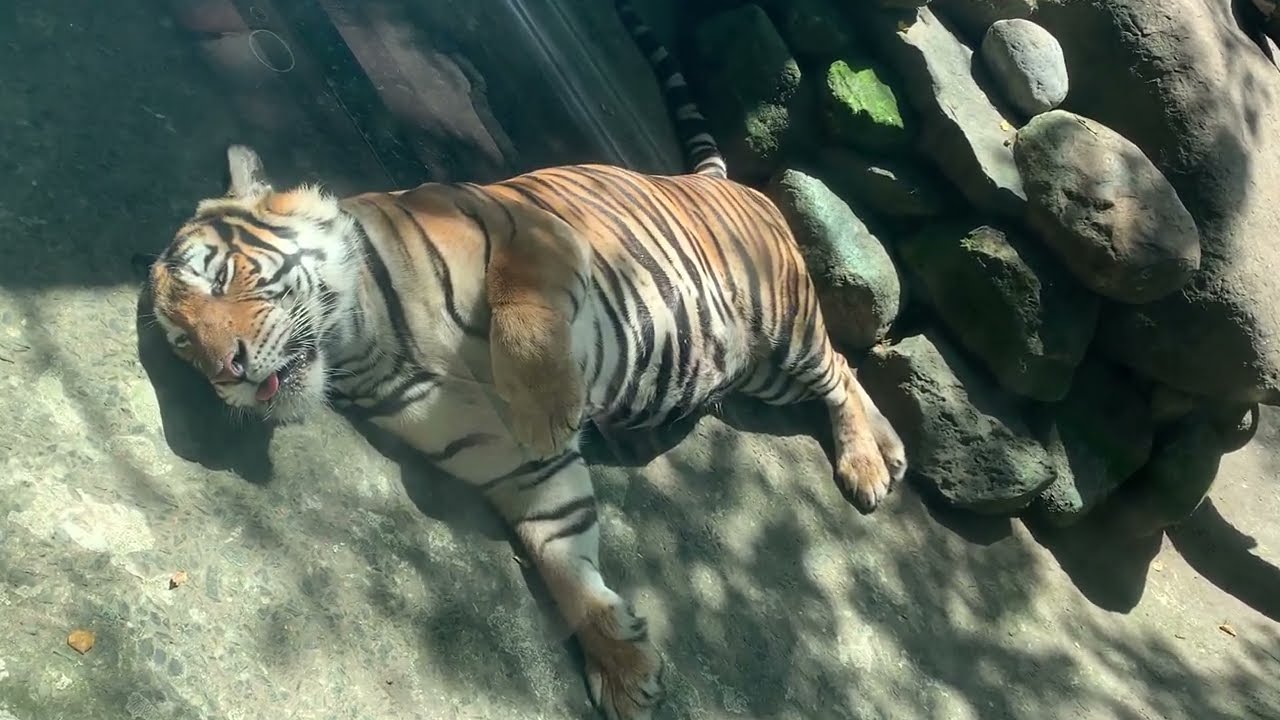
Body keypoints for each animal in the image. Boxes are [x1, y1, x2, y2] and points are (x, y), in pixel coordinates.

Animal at [144, 2, 907, 718]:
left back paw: (868, 465)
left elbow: (522, 315)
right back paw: (889, 453)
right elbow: (561, 553)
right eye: (181, 342)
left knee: (840, 369)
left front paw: (549, 409)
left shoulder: (529, 234)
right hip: (759, 365)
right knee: (847, 371)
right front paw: (622, 665)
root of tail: (726, 181)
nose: (227, 372)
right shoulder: (510, 465)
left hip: (781, 328)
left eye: (219, 277)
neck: (363, 338)